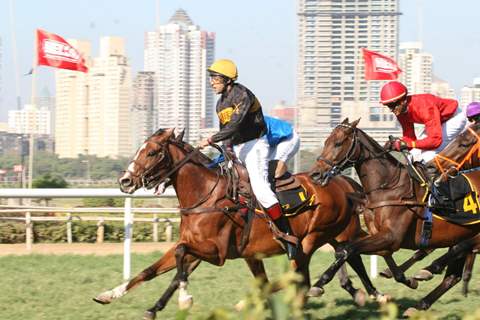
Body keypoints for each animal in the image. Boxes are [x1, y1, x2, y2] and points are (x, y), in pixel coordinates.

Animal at [94, 129, 386, 318]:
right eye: (140, 149)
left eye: (153, 152)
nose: (125, 181)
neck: (206, 195)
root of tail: (343, 181)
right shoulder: (197, 246)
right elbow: (153, 270)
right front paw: (112, 295)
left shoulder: (217, 253)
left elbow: (179, 263)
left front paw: (185, 299)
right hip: (332, 236)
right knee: (345, 257)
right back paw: (366, 293)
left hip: (311, 239)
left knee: (303, 273)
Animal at [308, 119, 480, 316]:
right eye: (325, 142)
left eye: (338, 143)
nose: (315, 174)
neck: (389, 187)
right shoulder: (381, 236)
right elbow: (365, 254)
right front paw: (404, 281)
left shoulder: (392, 237)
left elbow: (346, 249)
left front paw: (319, 284)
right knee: (453, 276)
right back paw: (419, 302)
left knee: (459, 252)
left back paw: (429, 270)